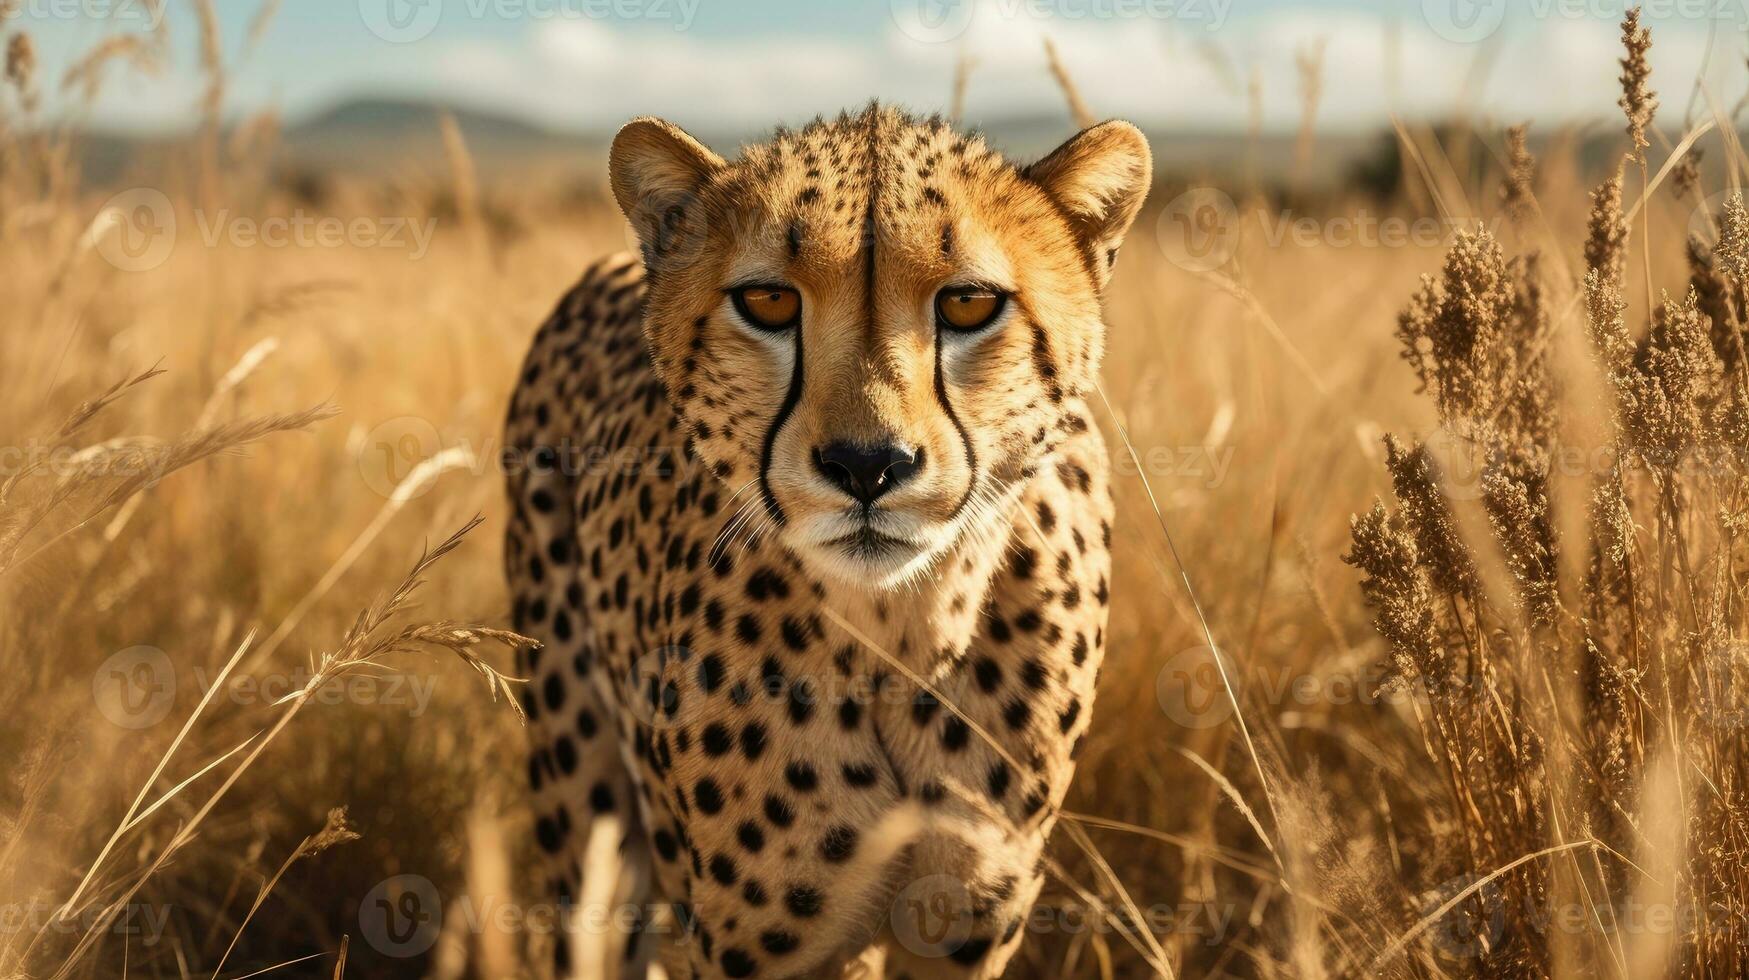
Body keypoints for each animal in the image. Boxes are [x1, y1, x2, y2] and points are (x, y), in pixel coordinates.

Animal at [503, 103, 1147, 973]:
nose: (867, 464)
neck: (900, 636)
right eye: (769, 301)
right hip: (580, 792)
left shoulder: (966, 930)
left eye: (969, 304)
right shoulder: (753, 946)